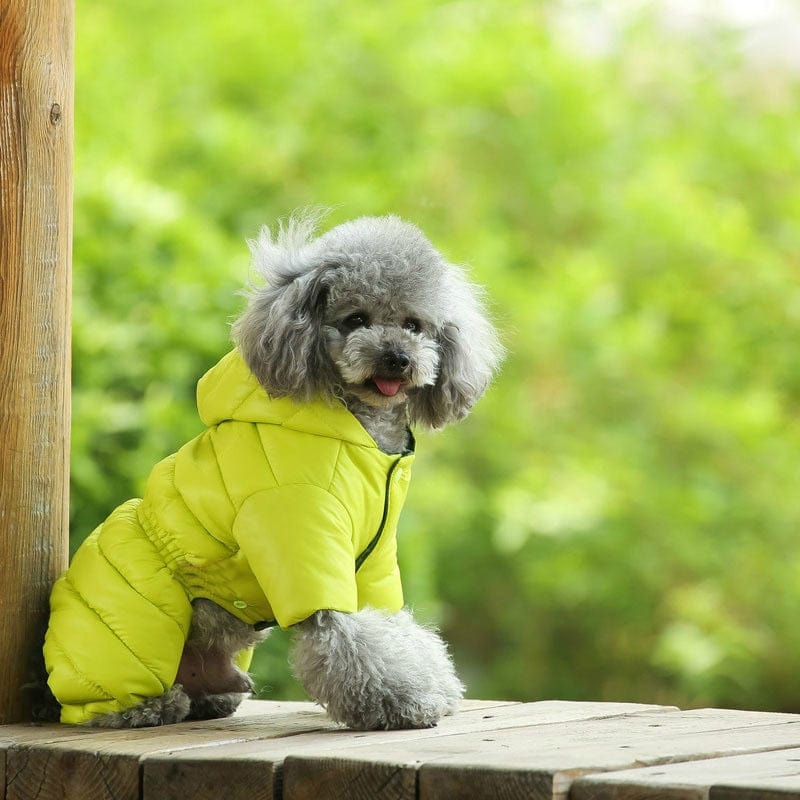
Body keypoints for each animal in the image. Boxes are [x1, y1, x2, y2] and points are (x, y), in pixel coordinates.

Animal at [42, 214, 500, 732]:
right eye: (356, 319)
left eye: (414, 324)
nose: (398, 358)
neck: (362, 435)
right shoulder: (302, 541)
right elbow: (348, 634)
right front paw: (405, 702)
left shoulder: (374, 556)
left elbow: (391, 623)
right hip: (138, 623)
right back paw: (149, 707)